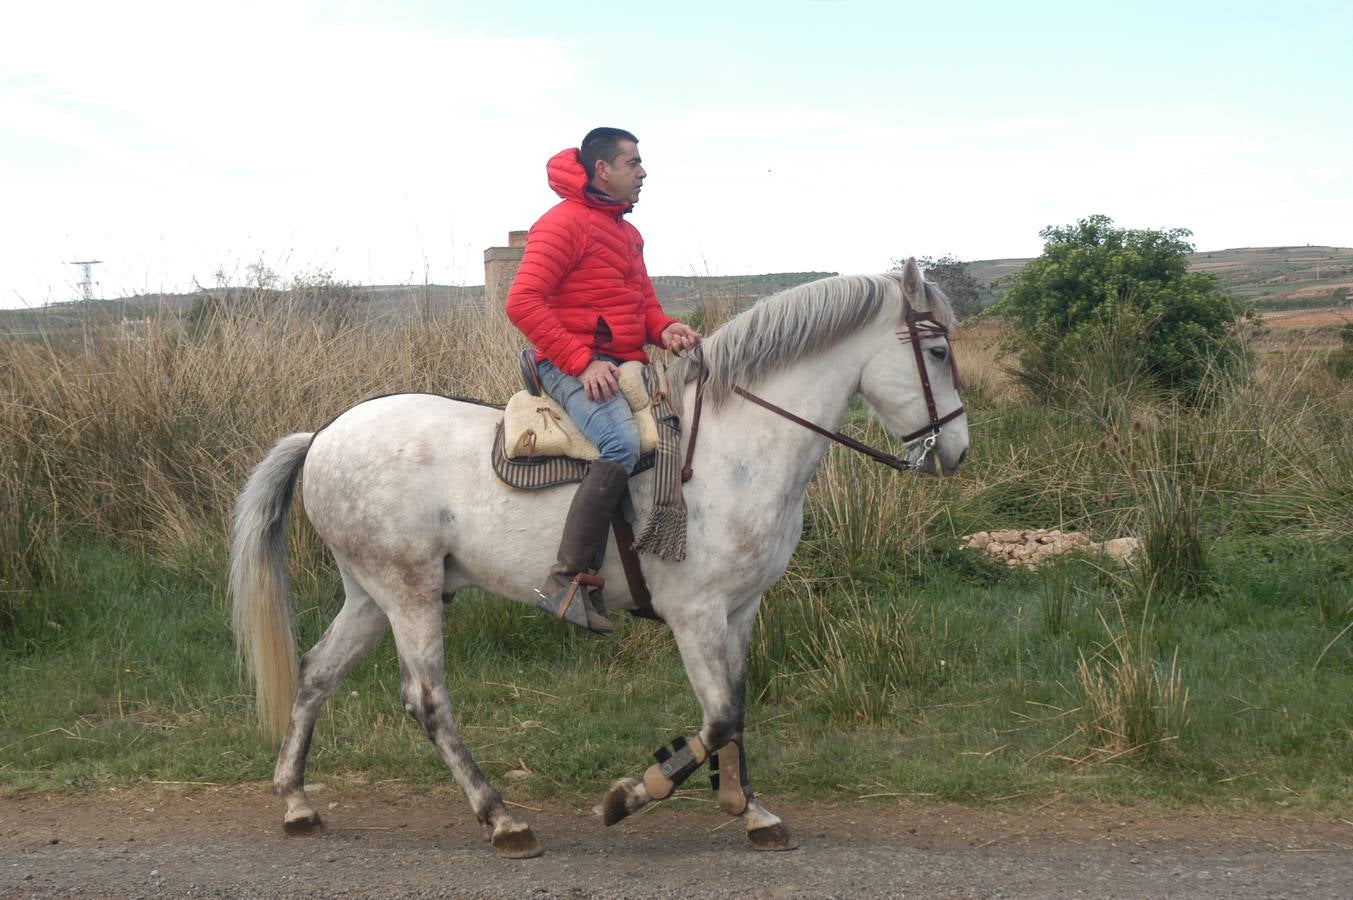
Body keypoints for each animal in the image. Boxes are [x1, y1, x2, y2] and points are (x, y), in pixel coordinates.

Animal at [235, 255, 974, 855]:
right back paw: (502, 819)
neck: (736, 447)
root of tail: (323, 435)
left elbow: (735, 712)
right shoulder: (695, 614)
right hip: (408, 591)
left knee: (315, 675)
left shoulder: (741, 610)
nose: (957, 451)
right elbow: (717, 718)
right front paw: (633, 794)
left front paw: (750, 809)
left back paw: (297, 803)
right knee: (427, 701)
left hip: (372, 595)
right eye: (936, 350)